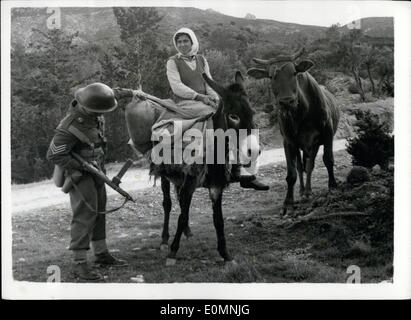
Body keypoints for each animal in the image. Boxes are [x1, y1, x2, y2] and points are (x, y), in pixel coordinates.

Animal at [125, 72, 256, 264]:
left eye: (252, 113)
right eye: (233, 116)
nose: (254, 150)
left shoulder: (216, 186)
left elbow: (218, 219)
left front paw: (225, 254)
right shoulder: (190, 183)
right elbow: (182, 215)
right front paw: (172, 252)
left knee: (180, 204)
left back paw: (187, 232)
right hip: (165, 176)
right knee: (168, 204)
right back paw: (164, 239)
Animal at [248, 48, 342, 216]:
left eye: (294, 73)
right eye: (271, 76)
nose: (286, 101)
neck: (302, 112)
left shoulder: (327, 133)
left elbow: (328, 160)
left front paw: (332, 187)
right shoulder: (289, 141)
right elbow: (292, 173)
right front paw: (288, 203)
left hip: (314, 145)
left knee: (309, 165)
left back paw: (308, 192)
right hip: (301, 146)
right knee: (301, 167)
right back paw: (303, 191)